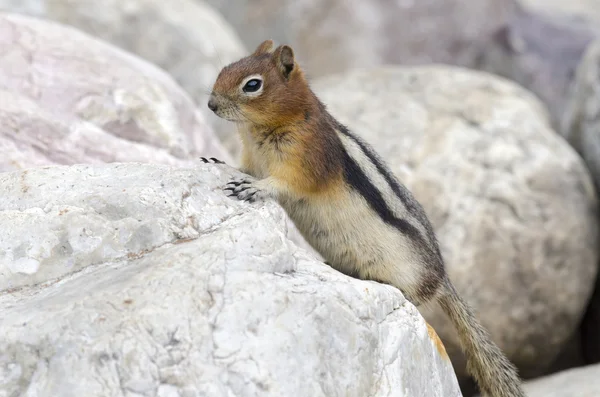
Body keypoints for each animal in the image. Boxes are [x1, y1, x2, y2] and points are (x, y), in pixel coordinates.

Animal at [204, 38, 524, 396]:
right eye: (225, 69)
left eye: (252, 85)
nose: (211, 104)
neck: (265, 128)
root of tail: (442, 280)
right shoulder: (251, 157)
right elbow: (242, 167)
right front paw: (218, 162)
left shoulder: (307, 159)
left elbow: (285, 183)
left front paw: (254, 187)